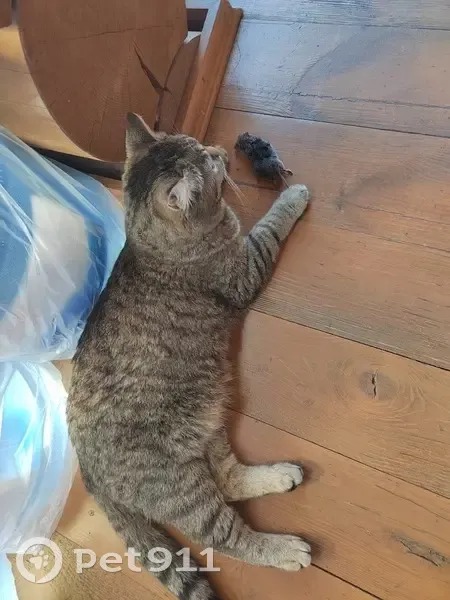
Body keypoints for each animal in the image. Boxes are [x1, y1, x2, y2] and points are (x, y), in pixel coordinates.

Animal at [67, 113, 311, 600]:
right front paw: (292, 195)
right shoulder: (247, 266)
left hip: (209, 426)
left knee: (231, 480)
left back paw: (279, 476)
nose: (220, 151)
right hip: (182, 488)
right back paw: (284, 551)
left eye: (200, 145)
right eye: (210, 166)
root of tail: (86, 471)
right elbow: (271, 224)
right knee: (225, 536)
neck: (151, 243)